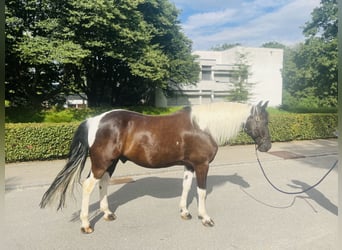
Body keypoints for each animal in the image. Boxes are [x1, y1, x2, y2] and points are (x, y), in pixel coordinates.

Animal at [40, 100, 272, 233]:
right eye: (264, 120)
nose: (267, 146)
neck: (203, 126)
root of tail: (94, 120)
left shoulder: (189, 165)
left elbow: (186, 187)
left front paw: (185, 213)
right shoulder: (201, 165)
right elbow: (201, 192)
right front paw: (205, 218)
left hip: (110, 163)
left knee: (103, 183)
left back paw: (107, 214)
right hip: (101, 162)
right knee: (89, 185)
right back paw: (86, 225)